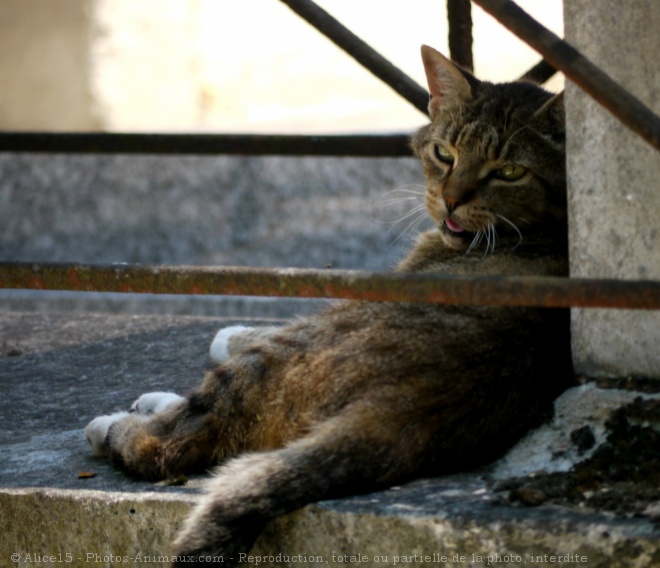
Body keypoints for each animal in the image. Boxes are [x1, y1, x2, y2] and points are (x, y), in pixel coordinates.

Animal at [85, 46, 572, 564]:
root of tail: (401, 412)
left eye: (510, 172)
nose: (451, 200)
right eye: (445, 153)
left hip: (284, 358)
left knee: (177, 440)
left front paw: (226, 335)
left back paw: (115, 425)